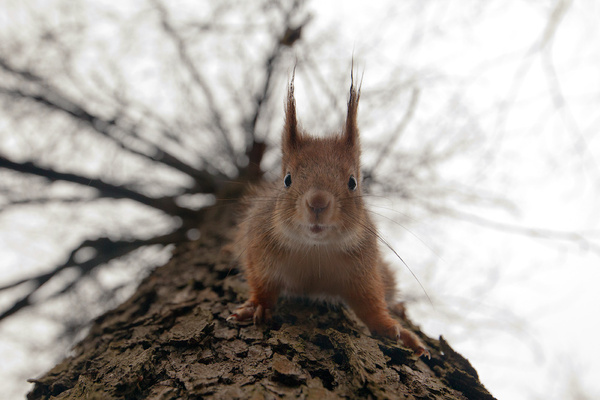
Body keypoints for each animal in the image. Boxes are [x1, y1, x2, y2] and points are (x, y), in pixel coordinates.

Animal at [227, 72, 428, 360]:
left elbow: (371, 304)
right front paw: (257, 306)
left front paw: (397, 331)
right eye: (287, 179)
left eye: (353, 182)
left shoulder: (364, 269)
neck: (315, 250)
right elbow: (262, 283)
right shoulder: (258, 249)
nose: (318, 203)